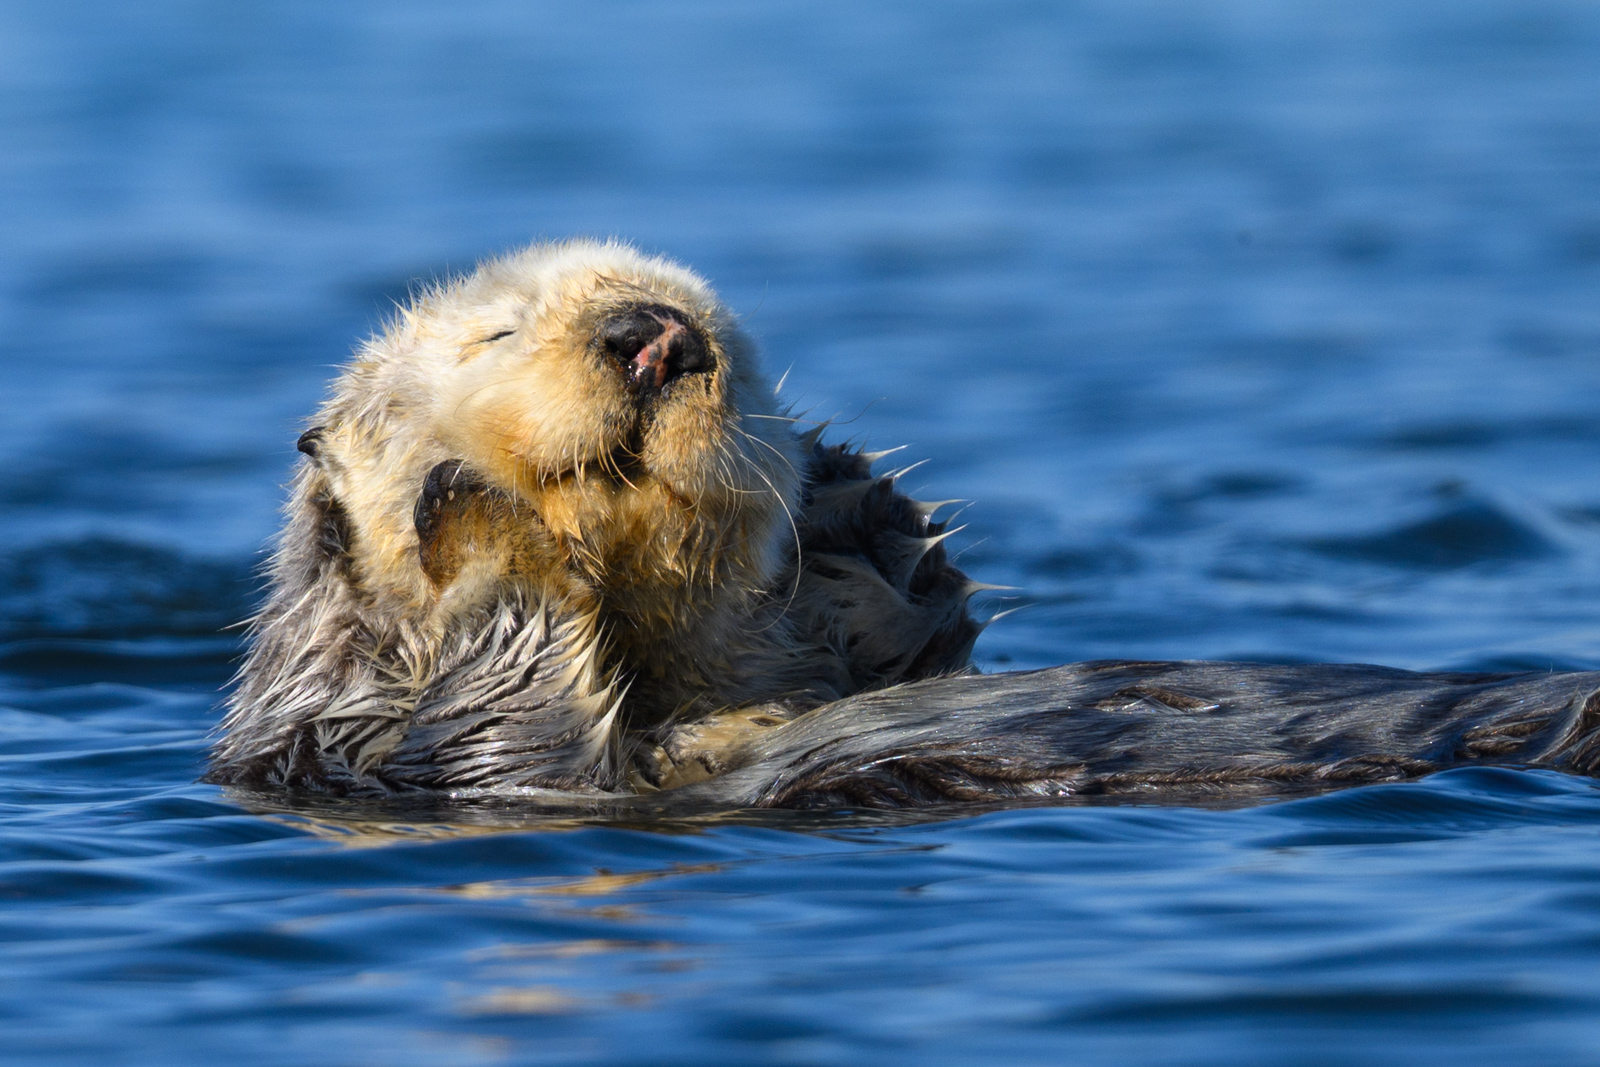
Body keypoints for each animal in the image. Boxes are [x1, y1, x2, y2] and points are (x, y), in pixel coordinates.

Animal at [209, 239, 1600, 811]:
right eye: (494, 332)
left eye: (741, 362)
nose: (655, 336)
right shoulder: (341, 744)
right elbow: (493, 729)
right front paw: (469, 528)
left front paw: (870, 523)